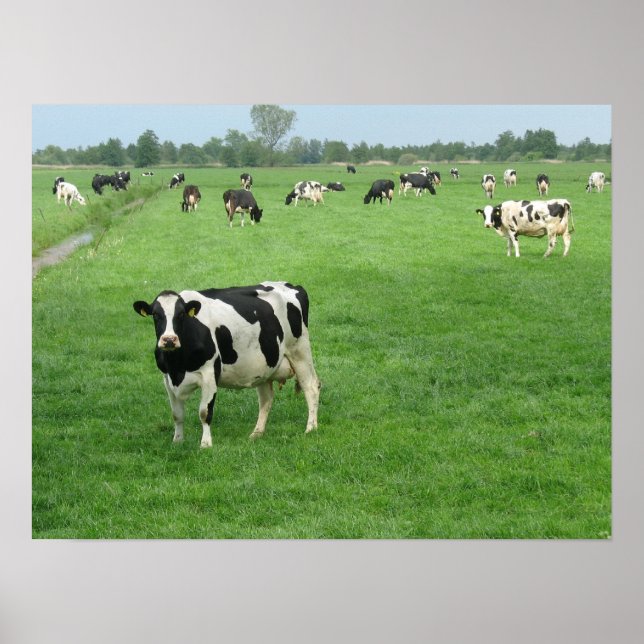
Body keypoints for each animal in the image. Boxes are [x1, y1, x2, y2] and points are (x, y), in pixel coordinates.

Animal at [132, 281, 321, 448]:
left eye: (180, 315)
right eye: (156, 315)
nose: (169, 339)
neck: (178, 366)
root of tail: (292, 285)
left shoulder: (209, 373)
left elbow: (204, 412)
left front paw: (206, 444)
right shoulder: (167, 378)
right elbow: (177, 415)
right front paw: (177, 441)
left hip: (300, 350)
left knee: (311, 386)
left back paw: (311, 428)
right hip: (265, 366)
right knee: (266, 399)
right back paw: (256, 434)